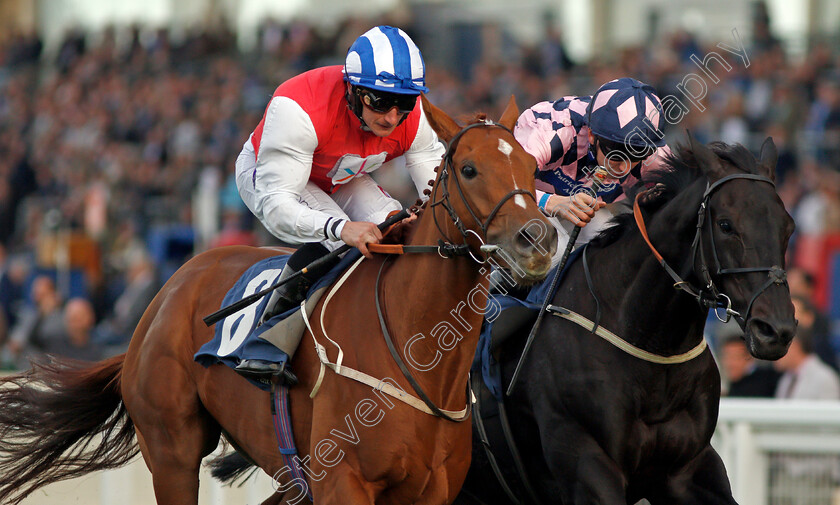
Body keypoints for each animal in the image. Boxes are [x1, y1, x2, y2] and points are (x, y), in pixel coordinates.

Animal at [0, 94, 556, 504]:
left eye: (532, 166)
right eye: (469, 169)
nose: (539, 239)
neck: (415, 351)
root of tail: (161, 297)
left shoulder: (429, 490)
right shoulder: (343, 481)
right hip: (171, 446)